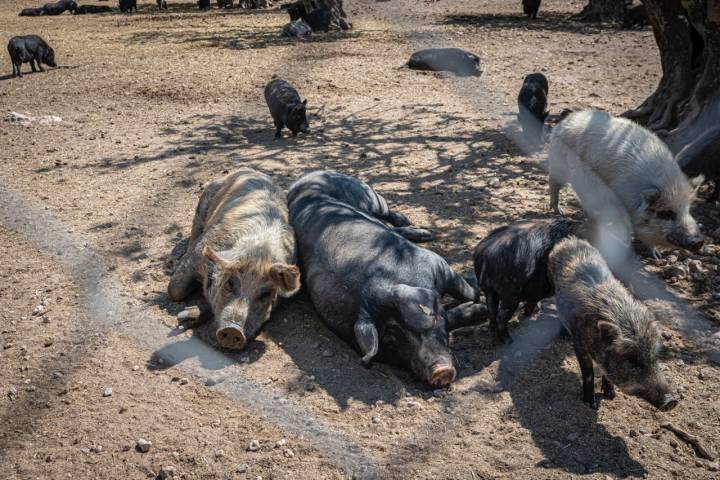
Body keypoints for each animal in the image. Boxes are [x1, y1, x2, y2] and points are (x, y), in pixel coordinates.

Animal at [167, 168, 300, 348]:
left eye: (266, 294)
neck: (258, 254)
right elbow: (174, 290)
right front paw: (181, 322)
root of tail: (250, 170)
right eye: (230, 283)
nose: (233, 330)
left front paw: (185, 319)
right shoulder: (199, 252)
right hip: (203, 204)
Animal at [548, 110, 700, 256]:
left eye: (687, 209)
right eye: (666, 213)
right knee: (553, 183)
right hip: (558, 165)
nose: (698, 241)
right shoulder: (617, 203)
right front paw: (628, 246)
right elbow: (626, 227)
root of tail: (567, 119)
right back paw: (559, 211)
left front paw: (657, 255)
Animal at [548, 238, 676, 410]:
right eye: (631, 360)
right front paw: (591, 404)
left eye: (654, 356)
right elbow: (588, 374)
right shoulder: (580, 344)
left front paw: (610, 395)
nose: (671, 401)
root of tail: (570, 240)